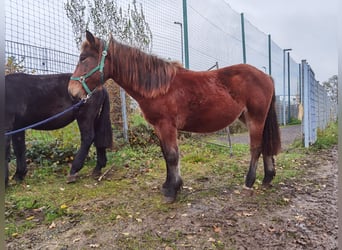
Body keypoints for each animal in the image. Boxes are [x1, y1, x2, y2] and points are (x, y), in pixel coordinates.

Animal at [67, 31, 280, 203]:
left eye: (84, 58)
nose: (72, 91)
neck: (159, 87)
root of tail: (267, 76)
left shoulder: (167, 125)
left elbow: (171, 156)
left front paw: (172, 190)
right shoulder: (159, 127)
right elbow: (166, 154)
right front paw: (170, 185)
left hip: (256, 118)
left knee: (256, 147)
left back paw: (249, 181)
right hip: (248, 117)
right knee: (265, 146)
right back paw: (268, 178)